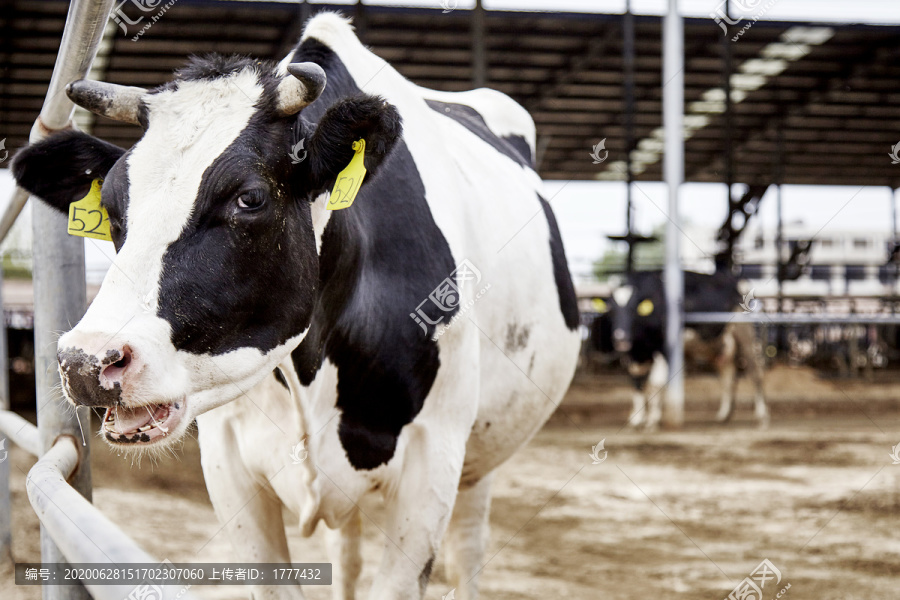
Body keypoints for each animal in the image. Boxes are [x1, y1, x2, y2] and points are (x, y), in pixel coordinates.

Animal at [12, 12, 584, 600]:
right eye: (111, 206)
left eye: (249, 198)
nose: (86, 361)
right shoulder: (228, 463)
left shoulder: (433, 462)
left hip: (477, 461)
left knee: (465, 551)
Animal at [604, 270, 768, 428]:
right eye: (612, 312)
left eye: (633, 310)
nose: (620, 337)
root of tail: (736, 278)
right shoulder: (634, 355)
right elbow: (636, 381)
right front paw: (637, 418)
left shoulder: (663, 349)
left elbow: (655, 384)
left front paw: (653, 420)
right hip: (719, 342)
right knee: (727, 372)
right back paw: (724, 414)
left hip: (746, 334)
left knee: (755, 371)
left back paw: (761, 416)